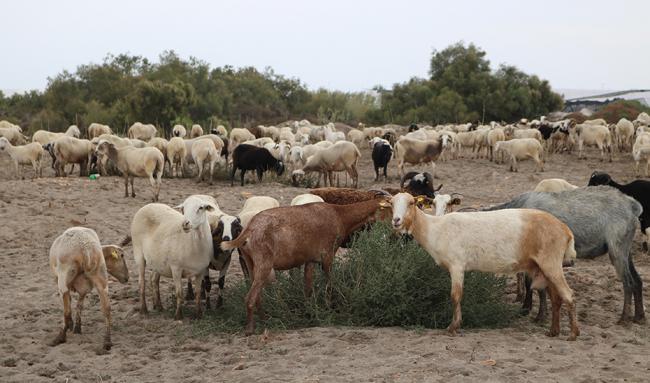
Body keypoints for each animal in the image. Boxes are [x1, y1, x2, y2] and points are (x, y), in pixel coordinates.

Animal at [220, 198, 388, 336]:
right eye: (390, 206)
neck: (339, 215)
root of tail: (248, 231)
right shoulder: (328, 256)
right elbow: (329, 284)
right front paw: (329, 308)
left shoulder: (310, 260)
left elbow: (308, 288)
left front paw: (310, 313)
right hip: (264, 263)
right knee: (250, 297)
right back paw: (251, 328)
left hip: (250, 262)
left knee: (257, 296)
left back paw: (266, 319)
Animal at [384, 194, 576, 340]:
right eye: (391, 203)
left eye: (411, 203)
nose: (396, 220)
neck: (434, 229)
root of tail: (565, 230)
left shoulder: (457, 265)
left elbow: (455, 296)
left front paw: (453, 327)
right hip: (544, 267)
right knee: (556, 299)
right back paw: (553, 331)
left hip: (551, 262)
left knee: (568, 295)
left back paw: (573, 334)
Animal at [480, 188, 644, 326]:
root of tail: (633, 205)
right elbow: (530, 284)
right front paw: (526, 309)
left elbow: (538, 288)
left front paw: (539, 316)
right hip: (626, 250)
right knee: (637, 281)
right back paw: (639, 317)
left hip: (617, 250)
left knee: (628, 282)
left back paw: (624, 319)